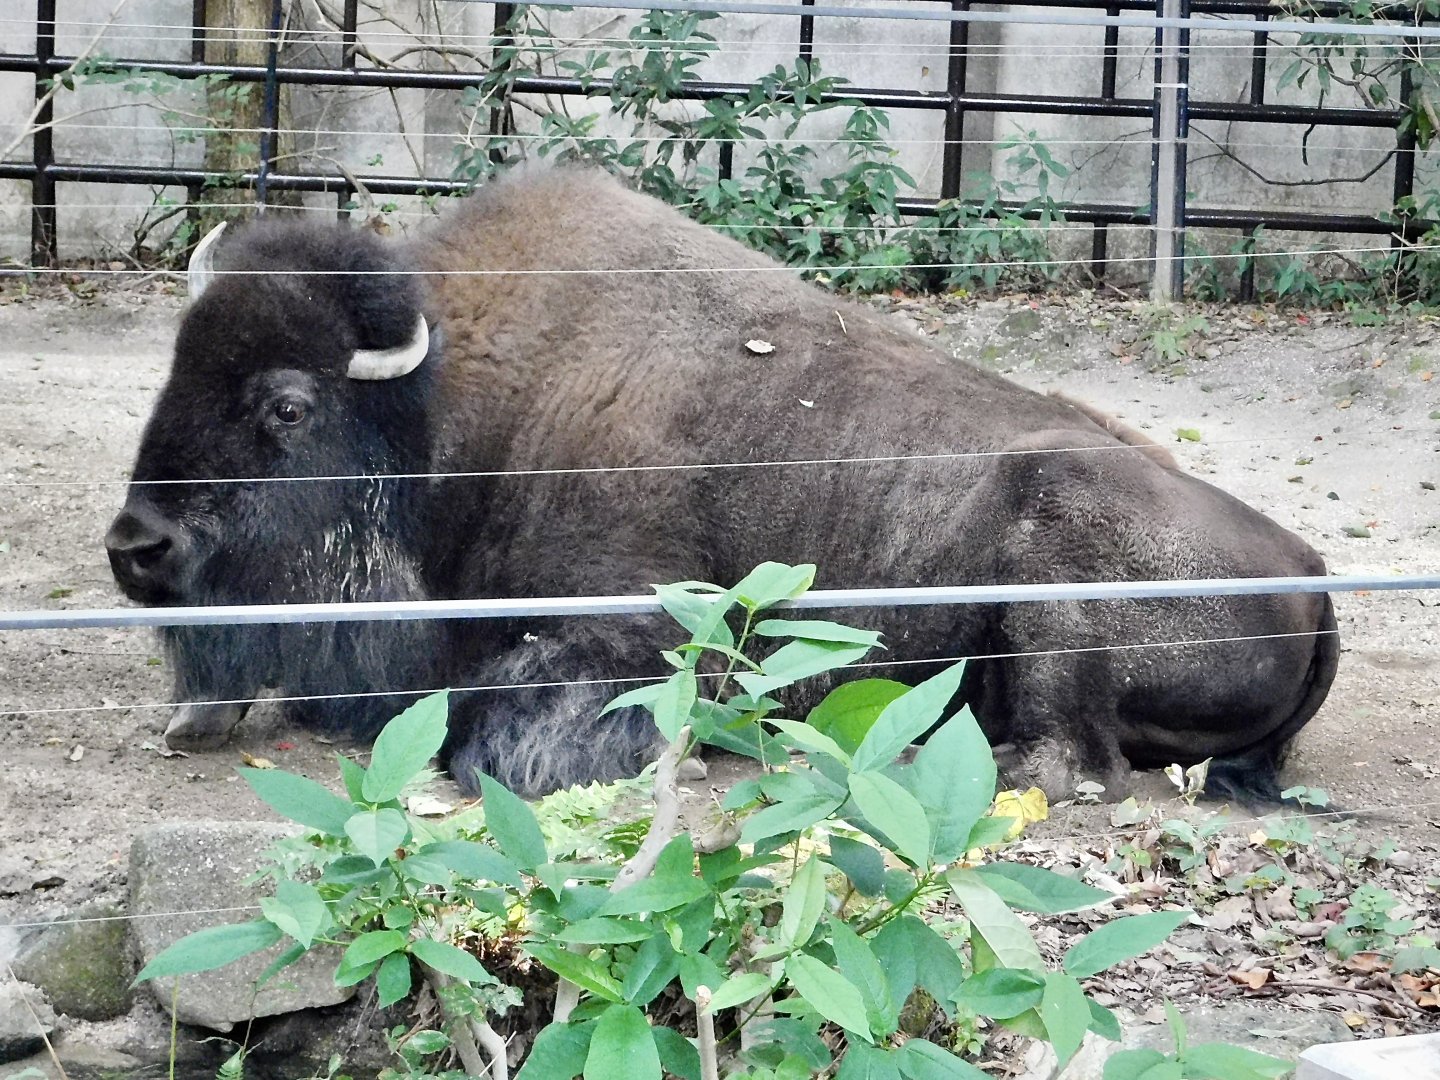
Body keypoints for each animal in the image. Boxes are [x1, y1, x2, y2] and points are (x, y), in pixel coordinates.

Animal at [105, 167, 1338, 801]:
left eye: (287, 407)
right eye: (170, 368)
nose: (136, 548)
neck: (450, 410)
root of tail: (1316, 580)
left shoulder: (630, 629)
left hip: (1056, 582)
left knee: (1064, 762)